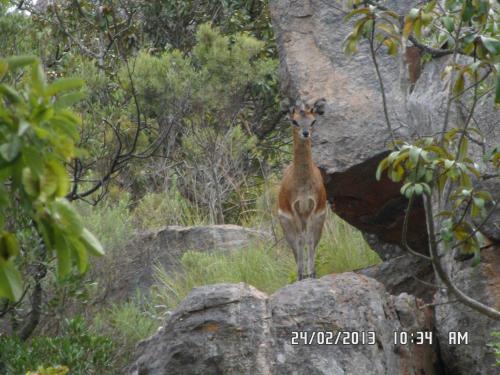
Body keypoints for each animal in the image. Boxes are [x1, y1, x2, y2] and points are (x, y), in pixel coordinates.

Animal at [278, 98, 328, 280]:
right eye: (294, 121)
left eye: (313, 121)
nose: (305, 133)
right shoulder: (294, 209)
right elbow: (300, 240)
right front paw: (301, 274)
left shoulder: (313, 208)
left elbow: (310, 240)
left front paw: (312, 273)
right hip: (286, 223)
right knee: (295, 243)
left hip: (319, 219)